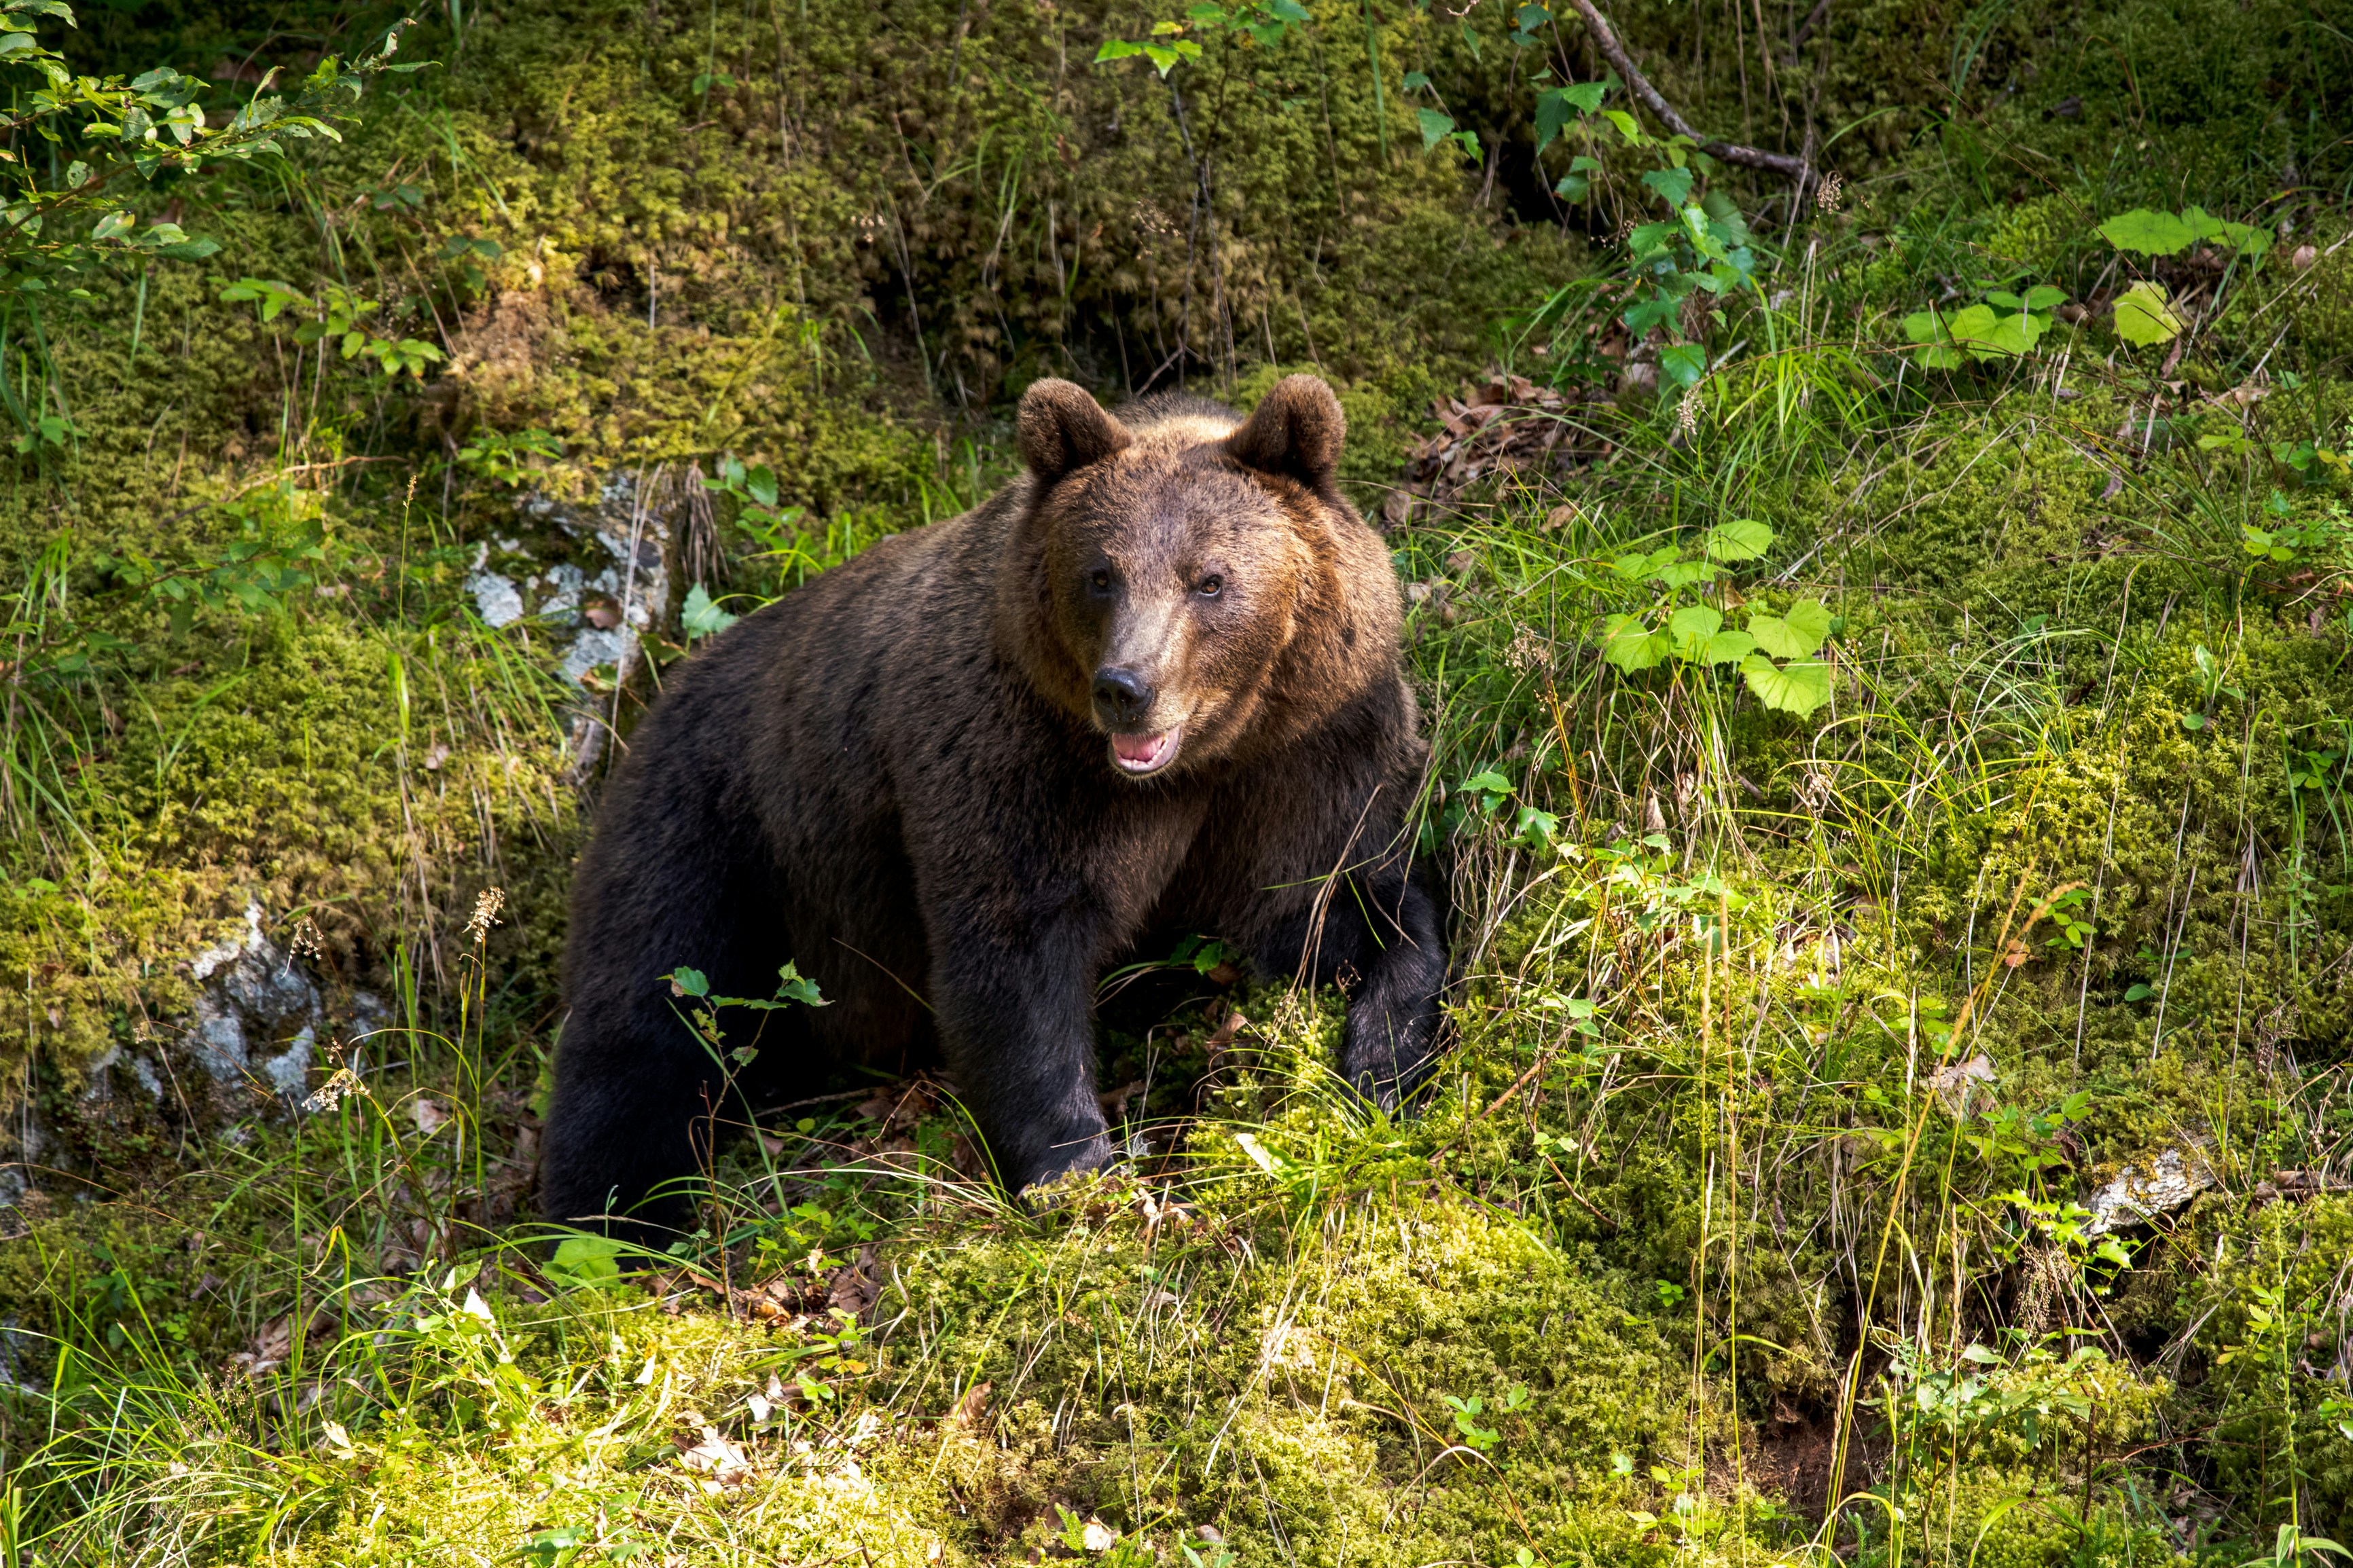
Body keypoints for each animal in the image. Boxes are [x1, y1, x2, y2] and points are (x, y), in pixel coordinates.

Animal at [540, 374, 1448, 1232]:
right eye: (1100, 574)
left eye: (1209, 579)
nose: (1126, 688)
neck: (1195, 762)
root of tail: (669, 685)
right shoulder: (1017, 759)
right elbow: (1015, 953)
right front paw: (1075, 1168)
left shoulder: (1305, 756)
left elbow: (1329, 906)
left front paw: (1381, 1060)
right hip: (716, 820)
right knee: (648, 1007)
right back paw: (613, 1215)